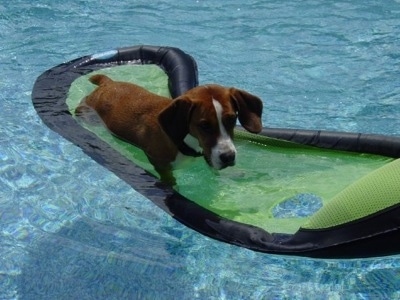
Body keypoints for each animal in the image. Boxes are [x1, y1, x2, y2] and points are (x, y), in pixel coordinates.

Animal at [76, 74, 262, 184]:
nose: (229, 157)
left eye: (232, 119)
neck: (183, 141)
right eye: (204, 125)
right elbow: (169, 180)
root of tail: (108, 83)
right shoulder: (159, 162)